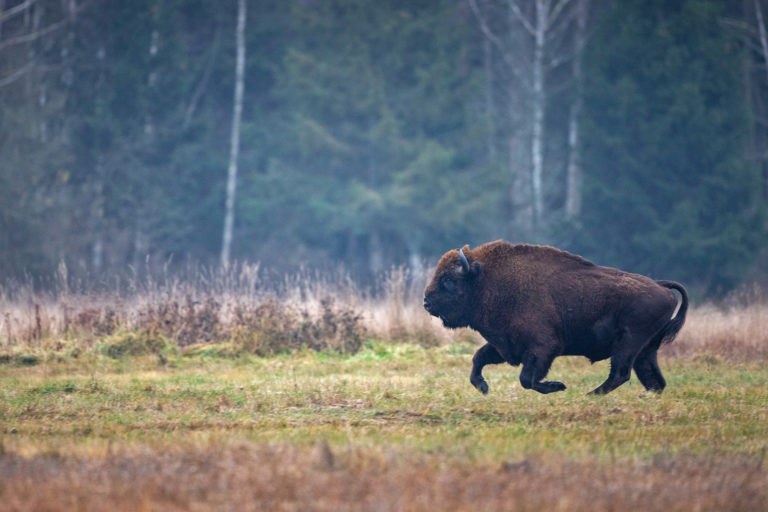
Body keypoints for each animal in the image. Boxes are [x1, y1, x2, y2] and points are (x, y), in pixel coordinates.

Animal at [424, 241, 688, 396]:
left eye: (449, 280)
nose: (426, 302)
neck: (485, 280)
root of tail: (661, 287)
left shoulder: (543, 347)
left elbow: (526, 378)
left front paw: (558, 386)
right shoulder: (504, 345)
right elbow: (478, 358)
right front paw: (483, 387)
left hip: (629, 343)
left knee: (620, 373)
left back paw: (590, 395)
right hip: (646, 349)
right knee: (653, 379)